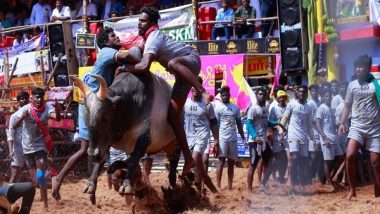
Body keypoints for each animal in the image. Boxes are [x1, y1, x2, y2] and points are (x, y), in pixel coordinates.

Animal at [71, 70, 181, 199]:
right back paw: (115, 166)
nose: (92, 154)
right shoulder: (107, 141)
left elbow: (133, 160)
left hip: (174, 144)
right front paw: (91, 184)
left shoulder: (144, 139)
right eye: (86, 118)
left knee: (172, 164)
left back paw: (174, 186)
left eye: (104, 118)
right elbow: (102, 161)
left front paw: (126, 184)